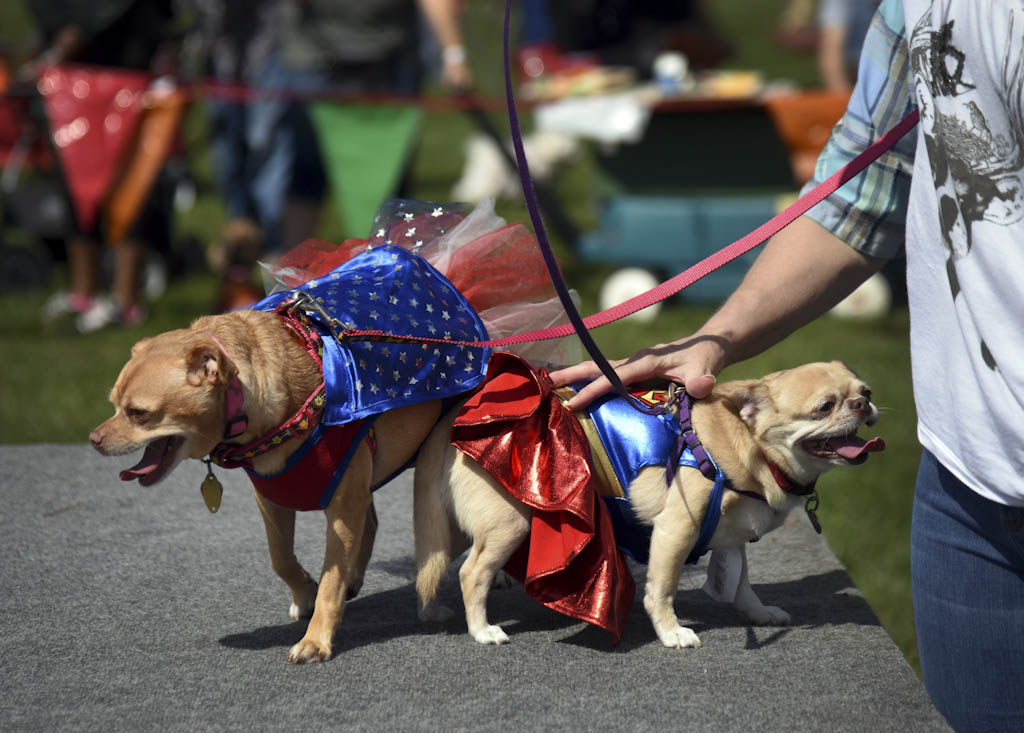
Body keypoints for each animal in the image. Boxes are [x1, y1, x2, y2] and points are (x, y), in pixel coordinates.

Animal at [94, 307, 446, 663]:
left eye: (139, 413)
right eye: (113, 405)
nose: (93, 439)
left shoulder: (343, 507)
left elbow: (330, 581)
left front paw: (316, 640)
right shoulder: (271, 497)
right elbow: (280, 558)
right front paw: (305, 593)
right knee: (370, 522)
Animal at [411, 360, 884, 647]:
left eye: (865, 389)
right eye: (825, 407)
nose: (863, 403)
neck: (746, 442)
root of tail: (454, 418)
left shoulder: (732, 538)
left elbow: (741, 583)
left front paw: (758, 613)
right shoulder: (675, 532)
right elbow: (663, 589)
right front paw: (672, 633)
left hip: (453, 528)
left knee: (431, 566)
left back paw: (432, 611)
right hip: (511, 523)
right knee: (471, 573)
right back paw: (481, 630)